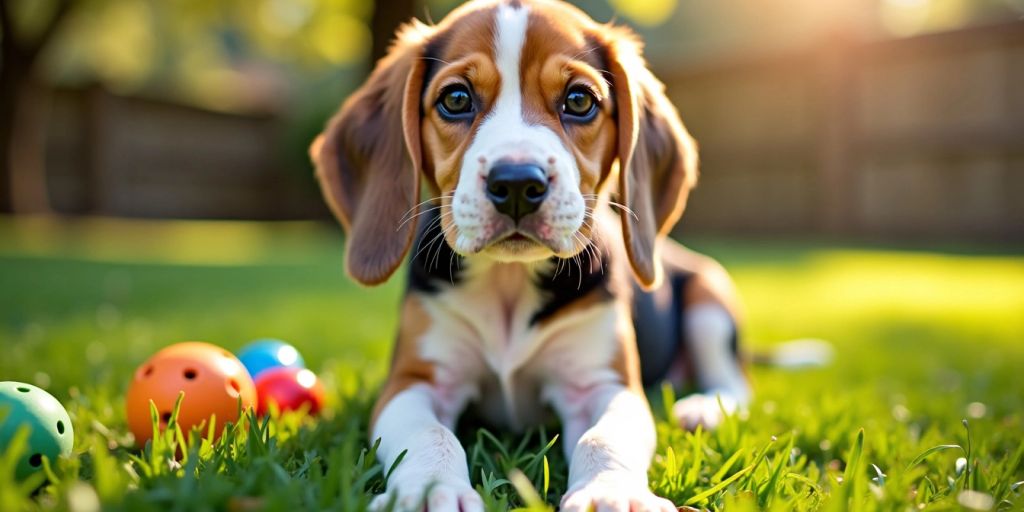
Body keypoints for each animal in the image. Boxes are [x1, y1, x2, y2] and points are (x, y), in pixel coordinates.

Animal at [307, 2, 749, 509]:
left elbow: (604, 438)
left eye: (579, 100)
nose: (517, 182)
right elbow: (430, 435)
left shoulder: (604, 385)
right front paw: (427, 491)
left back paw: (705, 408)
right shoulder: (414, 381)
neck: (509, 281)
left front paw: (610, 492)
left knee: (734, 377)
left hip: (710, 296)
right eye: (455, 99)